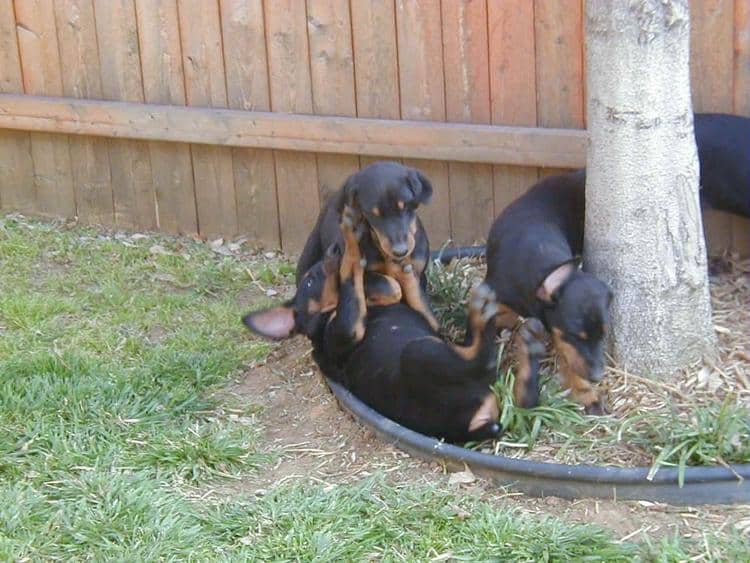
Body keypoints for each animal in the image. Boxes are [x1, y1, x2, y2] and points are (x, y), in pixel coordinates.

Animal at [247, 207, 506, 446]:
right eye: (310, 279)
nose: (332, 249)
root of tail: (474, 425)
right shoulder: (344, 329)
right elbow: (357, 275)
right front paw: (356, 243)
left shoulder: (426, 319)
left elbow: (399, 289)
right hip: (419, 351)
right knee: (482, 358)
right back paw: (481, 311)